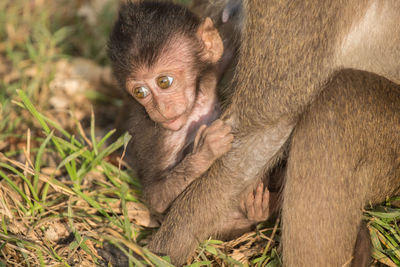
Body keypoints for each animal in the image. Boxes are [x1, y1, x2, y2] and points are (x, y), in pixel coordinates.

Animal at [108, 0, 274, 239]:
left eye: (164, 82)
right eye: (140, 92)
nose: (161, 108)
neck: (194, 108)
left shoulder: (211, 72)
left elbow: (226, 46)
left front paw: (235, 11)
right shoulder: (160, 137)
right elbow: (156, 198)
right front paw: (206, 150)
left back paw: (256, 209)